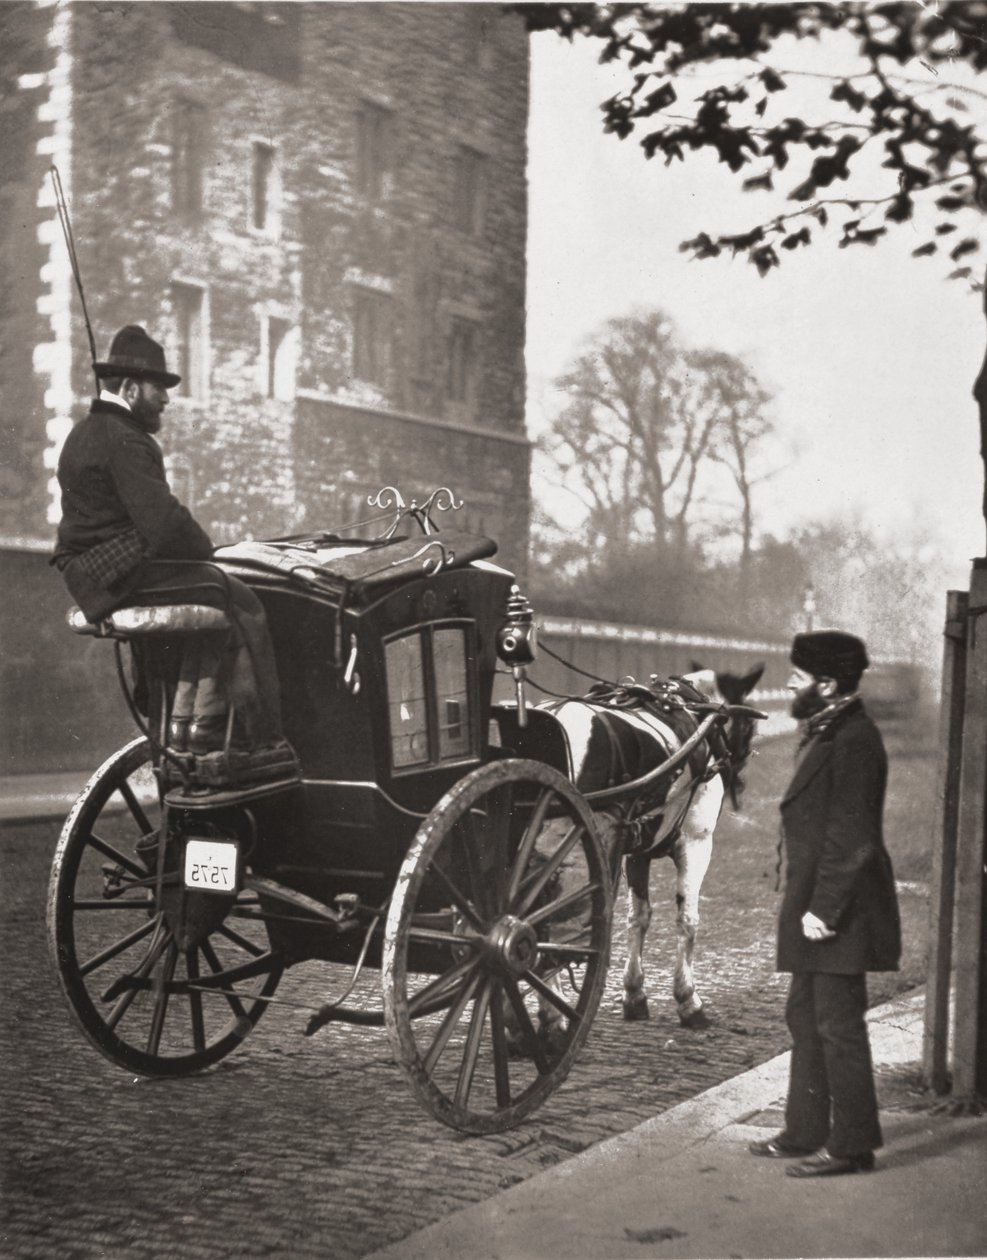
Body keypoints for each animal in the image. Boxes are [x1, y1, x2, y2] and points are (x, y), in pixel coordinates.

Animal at [521, 665, 766, 1028]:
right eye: (747, 726)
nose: (739, 782)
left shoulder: (636, 851)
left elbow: (639, 917)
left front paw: (634, 993)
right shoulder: (696, 841)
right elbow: (687, 919)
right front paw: (688, 999)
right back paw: (552, 1013)